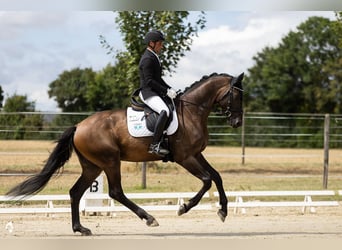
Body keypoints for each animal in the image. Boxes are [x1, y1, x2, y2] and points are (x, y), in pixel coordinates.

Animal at [6, 72, 244, 234]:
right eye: (236, 96)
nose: (237, 122)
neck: (192, 111)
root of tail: (79, 126)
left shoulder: (197, 154)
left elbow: (217, 177)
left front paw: (223, 211)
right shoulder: (185, 158)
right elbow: (206, 180)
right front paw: (184, 207)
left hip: (93, 166)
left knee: (76, 192)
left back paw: (80, 229)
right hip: (110, 161)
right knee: (115, 192)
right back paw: (148, 218)